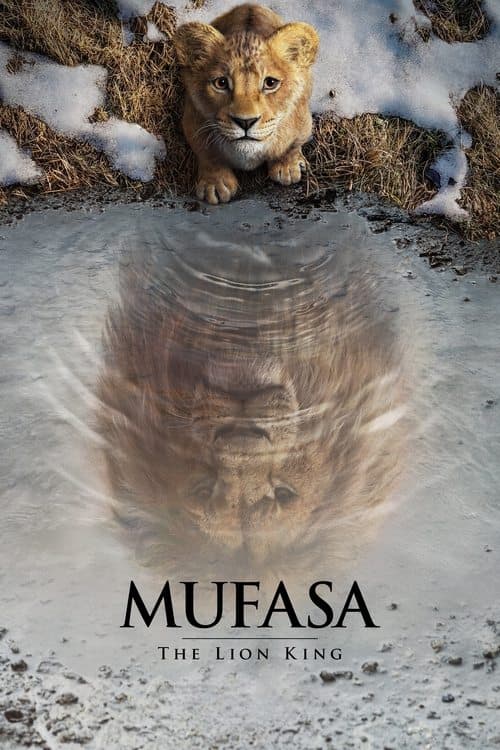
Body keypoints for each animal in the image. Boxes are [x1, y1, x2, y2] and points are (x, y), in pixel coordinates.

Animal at [174, 3, 319, 204]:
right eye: (221, 83)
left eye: (270, 83)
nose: (245, 122)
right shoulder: (193, 121)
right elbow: (207, 154)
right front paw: (215, 184)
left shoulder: (303, 121)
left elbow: (292, 145)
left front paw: (287, 167)